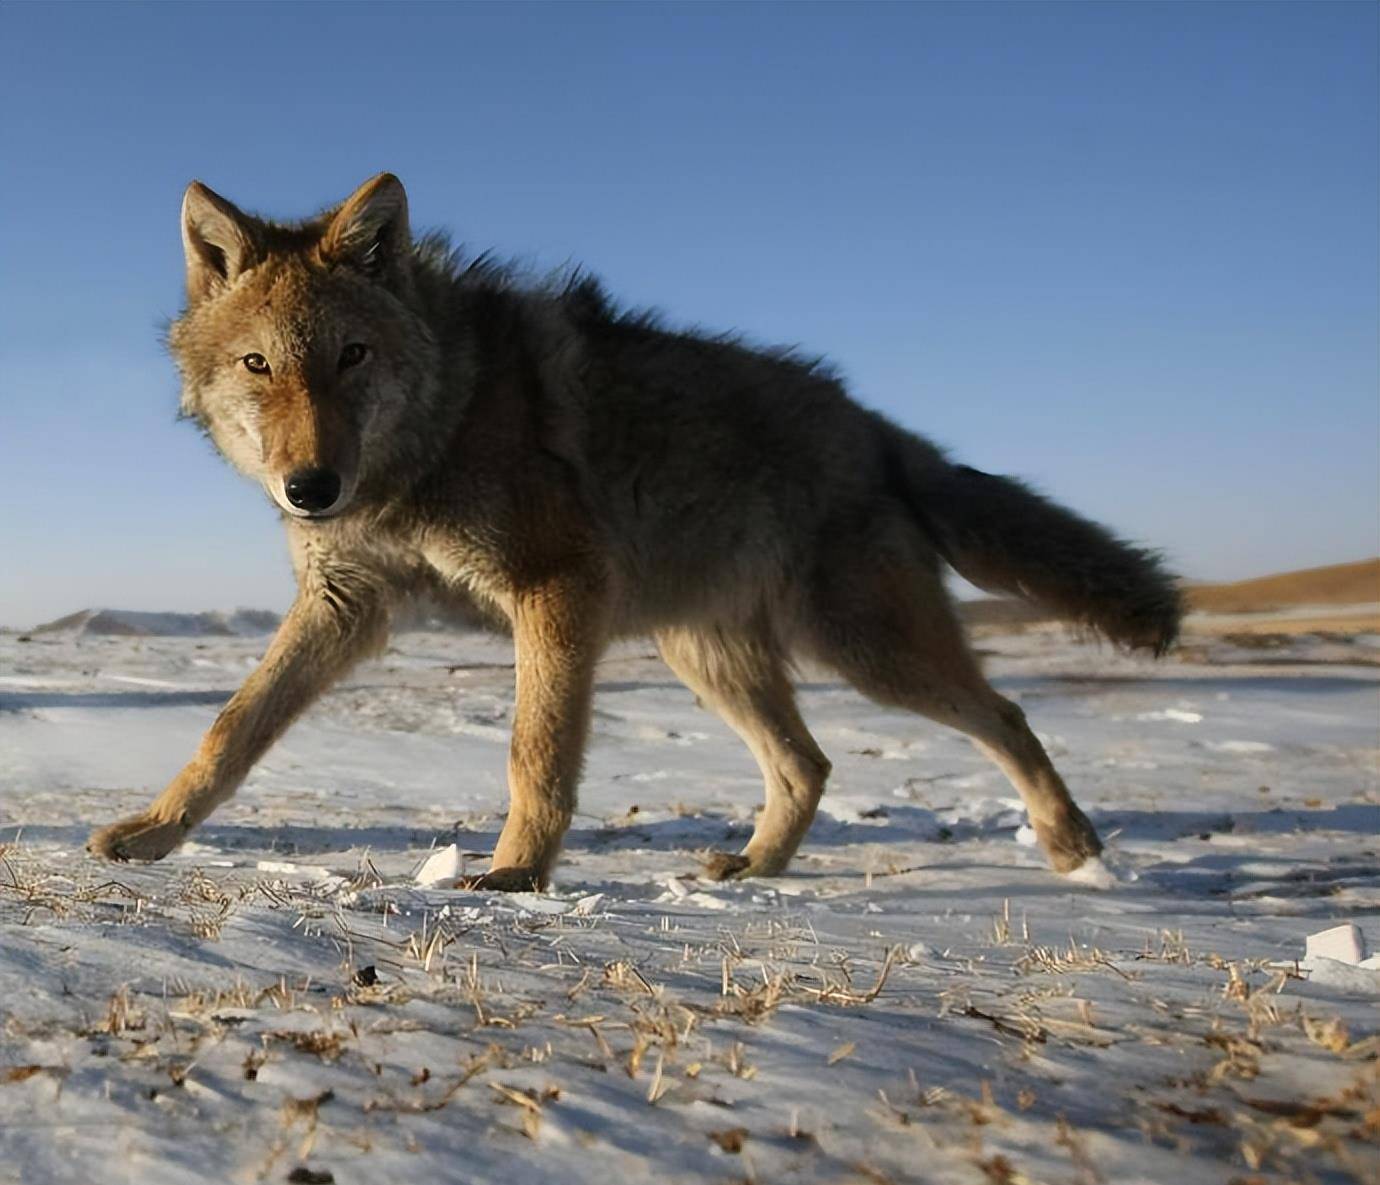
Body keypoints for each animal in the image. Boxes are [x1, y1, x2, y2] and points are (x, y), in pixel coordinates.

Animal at [86, 171, 1181, 882]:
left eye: (351, 356)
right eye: (259, 365)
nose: (310, 488)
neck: (440, 426)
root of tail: (870, 421)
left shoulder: (557, 589)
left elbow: (534, 750)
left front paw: (515, 877)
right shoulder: (346, 603)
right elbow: (231, 729)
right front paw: (152, 832)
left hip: (867, 653)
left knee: (1007, 716)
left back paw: (1072, 848)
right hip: (711, 657)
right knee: (810, 764)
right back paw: (753, 867)